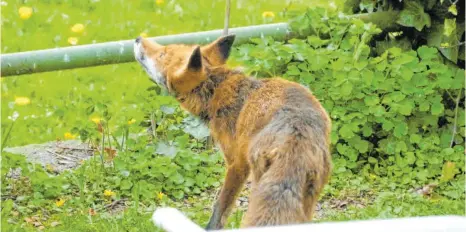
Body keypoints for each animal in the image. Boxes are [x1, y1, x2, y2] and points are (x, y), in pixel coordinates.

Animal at [133, 33, 334, 229]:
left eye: (162, 54)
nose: (137, 38)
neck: (218, 89)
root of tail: (296, 133)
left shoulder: (236, 163)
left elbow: (220, 209)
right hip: (310, 194)